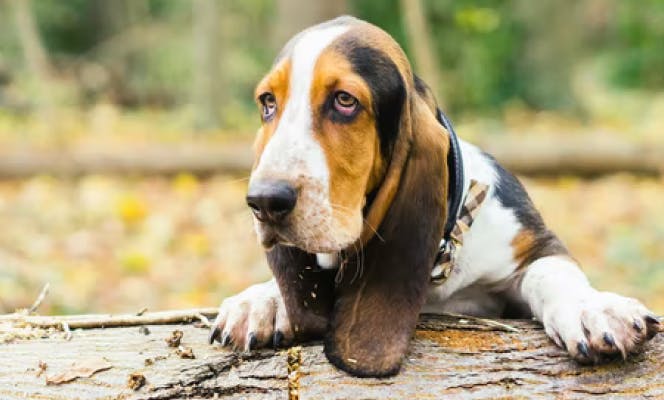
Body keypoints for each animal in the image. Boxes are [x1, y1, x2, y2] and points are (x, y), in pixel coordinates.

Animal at [209, 16, 660, 378]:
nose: (264, 201)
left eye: (345, 101)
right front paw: (263, 300)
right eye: (268, 102)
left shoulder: (535, 243)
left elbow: (550, 273)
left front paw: (593, 309)